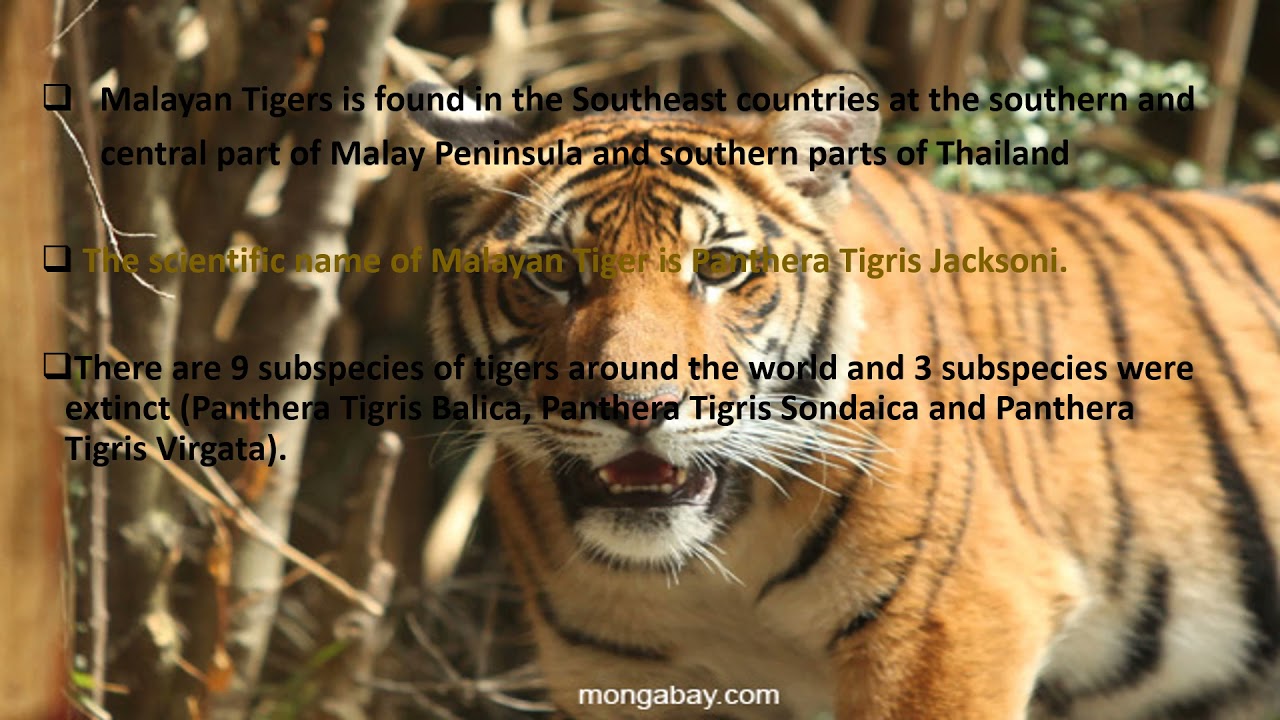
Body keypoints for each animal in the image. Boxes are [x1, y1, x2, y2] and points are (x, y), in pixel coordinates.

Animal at [404, 73, 1280, 719]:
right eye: (553, 272)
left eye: (719, 268)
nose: (638, 407)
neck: (712, 569)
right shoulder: (615, 672)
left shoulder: (952, 623)